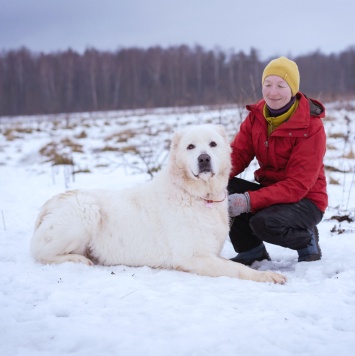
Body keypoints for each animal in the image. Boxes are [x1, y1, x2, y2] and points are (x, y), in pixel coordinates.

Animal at [29, 124, 286, 284]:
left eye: (213, 144)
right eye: (190, 147)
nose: (204, 159)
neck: (195, 195)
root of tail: (49, 205)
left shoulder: (208, 253)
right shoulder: (192, 257)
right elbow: (237, 269)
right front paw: (268, 276)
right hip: (86, 211)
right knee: (41, 254)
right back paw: (78, 259)